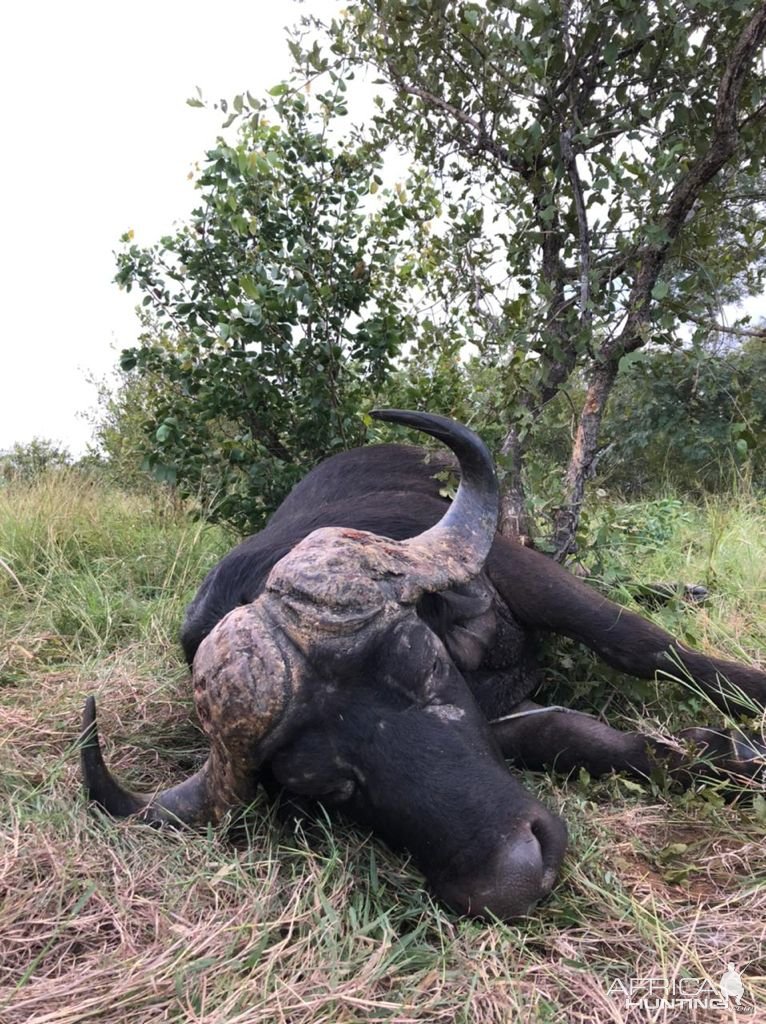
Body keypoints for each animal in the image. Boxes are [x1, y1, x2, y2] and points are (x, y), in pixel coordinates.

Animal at [82, 411, 766, 925]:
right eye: (326, 787)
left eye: (422, 665)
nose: (514, 878)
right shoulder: (507, 720)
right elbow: (574, 737)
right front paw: (725, 754)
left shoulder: (523, 572)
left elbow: (640, 644)